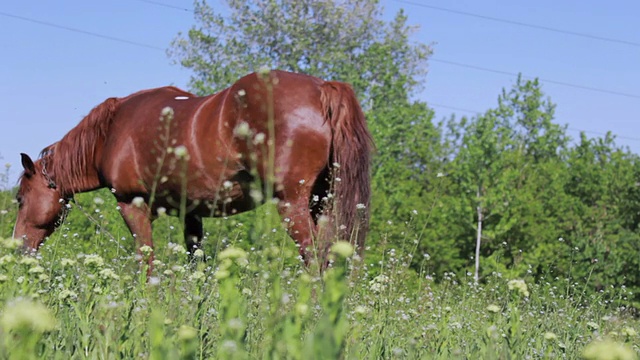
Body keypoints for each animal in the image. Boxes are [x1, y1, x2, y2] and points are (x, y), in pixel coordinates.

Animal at [13, 70, 376, 268]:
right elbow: (193, 261)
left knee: (314, 258)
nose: (17, 249)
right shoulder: (192, 212)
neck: (112, 131)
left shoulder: (132, 206)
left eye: (19, 199)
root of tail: (321, 88)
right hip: (321, 204)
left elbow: (146, 260)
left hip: (293, 205)